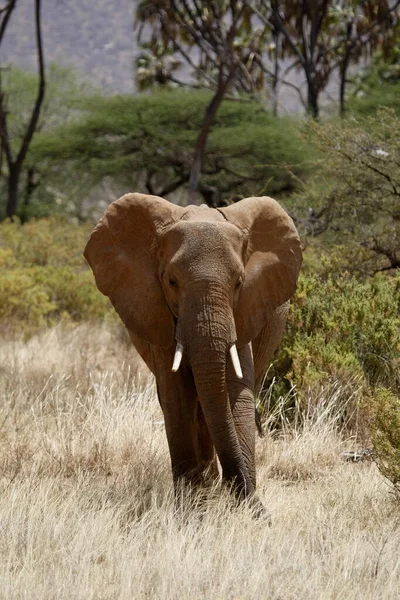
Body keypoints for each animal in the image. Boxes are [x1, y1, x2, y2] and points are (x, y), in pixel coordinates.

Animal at [85, 192, 304, 510]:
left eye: (239, 282)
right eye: (172, 281)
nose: (260, 508)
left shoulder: (245, 309)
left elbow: (236, 394)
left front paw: (242, 505)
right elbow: (177, 396)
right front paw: (191, 508)